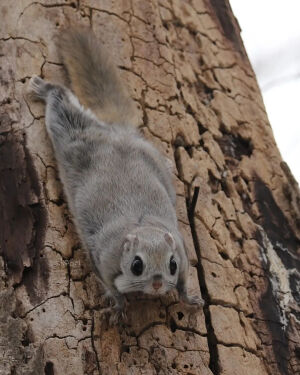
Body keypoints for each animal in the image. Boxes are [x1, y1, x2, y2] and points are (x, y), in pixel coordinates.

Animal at [28, 28, 204, 324]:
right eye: (136, 265)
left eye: (172, 264)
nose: (158, 284)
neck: (140, 226)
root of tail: (117, 134)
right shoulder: (104, 258)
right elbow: (111, 287)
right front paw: (119, 308)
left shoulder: (182, 249)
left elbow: (182, 283)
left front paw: (189, 298)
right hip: (72, 139)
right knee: (62, 106)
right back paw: (46, 88)